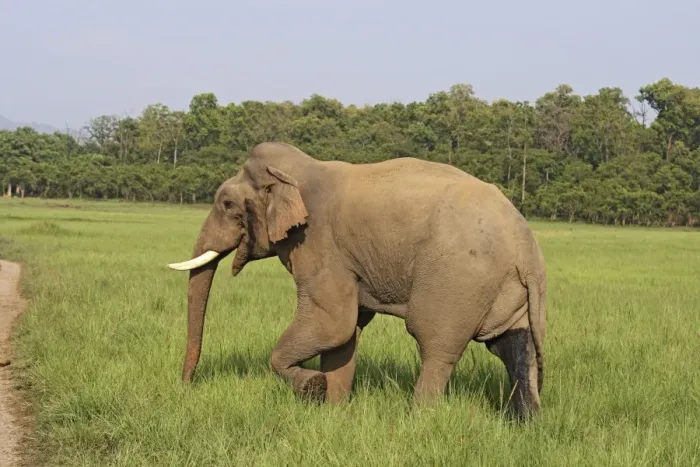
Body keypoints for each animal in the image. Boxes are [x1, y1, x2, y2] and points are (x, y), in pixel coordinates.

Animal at [167, 142, 547, 420]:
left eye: (227, 204)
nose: (186, 387)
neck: (300, 171)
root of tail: (525, 245)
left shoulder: (319, 244)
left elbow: (334, 322)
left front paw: (313, 388)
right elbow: (346, 331)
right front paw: (333, 412)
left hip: (457, 278)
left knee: (435, 345)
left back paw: (419, 419)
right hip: (506, 287)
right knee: (514, 346)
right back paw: (525, 425)